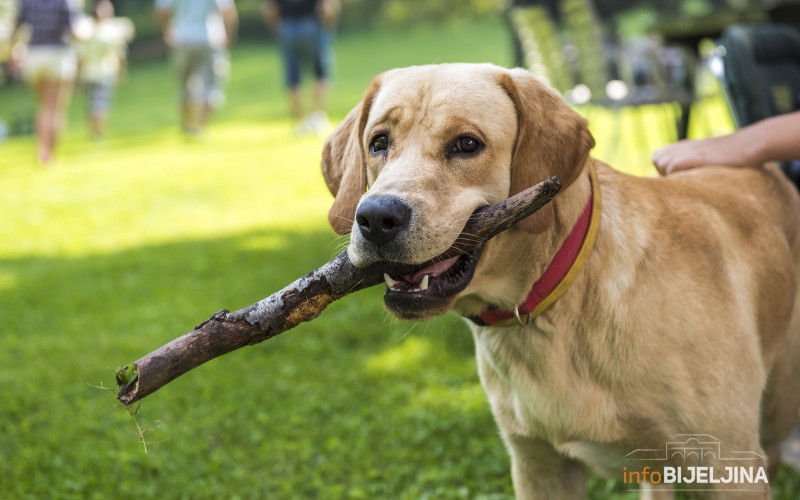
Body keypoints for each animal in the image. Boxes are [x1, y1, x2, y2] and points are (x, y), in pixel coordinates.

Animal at [318, 63, 800, 500]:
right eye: (379, 142)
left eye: (467, 144)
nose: (376, 218)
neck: (554, 303)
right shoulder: (539, 466)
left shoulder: (730, 467)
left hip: (777, 410)